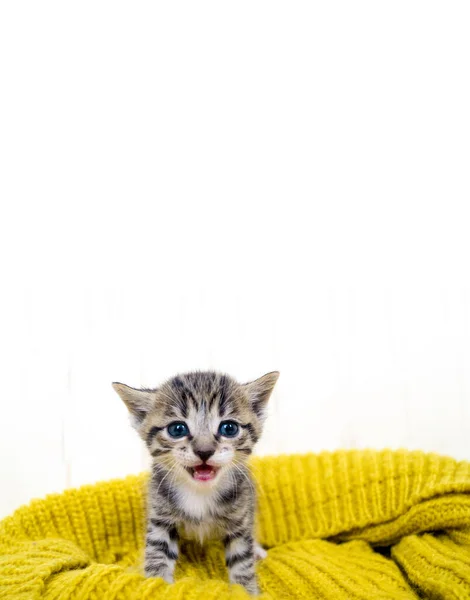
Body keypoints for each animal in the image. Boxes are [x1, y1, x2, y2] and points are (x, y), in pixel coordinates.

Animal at [112, 370, 278, 596]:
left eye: (229, 428)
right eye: (177, 429)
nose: (204, 451)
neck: (199, 493)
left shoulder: (241, 518)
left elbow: (242, 560)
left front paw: (247, 592)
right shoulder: (160, 516)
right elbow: (157, 551)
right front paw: (156, 584)